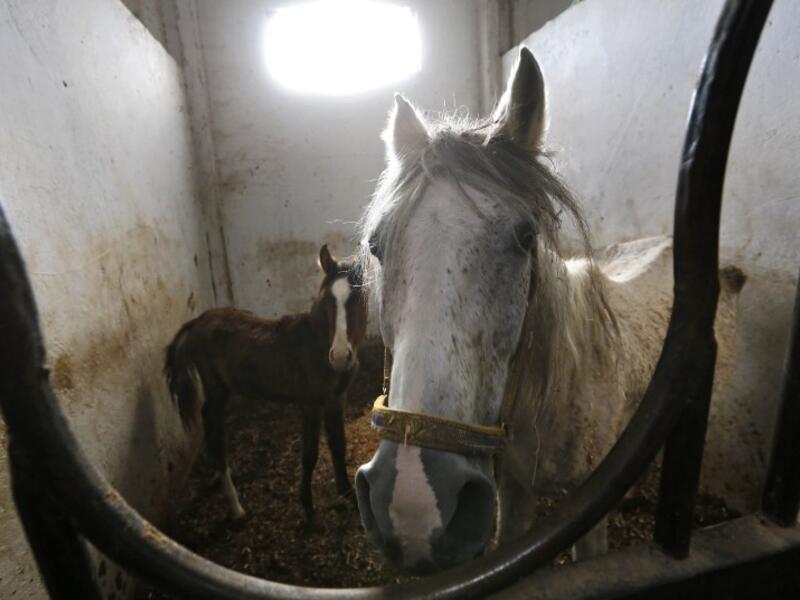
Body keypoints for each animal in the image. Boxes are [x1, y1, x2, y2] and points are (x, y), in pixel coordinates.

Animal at [164, 244, 368, 522]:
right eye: (327, 300)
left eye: (358, 298)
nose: (339, 356)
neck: (316, 344)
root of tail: (197, 322)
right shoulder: (310, 404)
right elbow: (310, 455)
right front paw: (307, 506)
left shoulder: (337, 399)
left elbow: (338, 446)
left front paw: (349, 495)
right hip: (217, 389)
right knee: (212, 424)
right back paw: (236, 506)